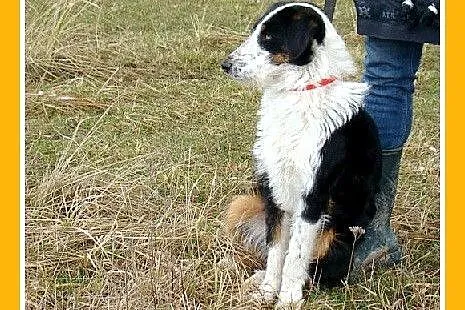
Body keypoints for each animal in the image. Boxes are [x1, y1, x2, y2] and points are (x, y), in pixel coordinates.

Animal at [221, 1, 380, 308]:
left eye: (269, 37)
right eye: (256, 31)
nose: (226, 65)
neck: (300, 91)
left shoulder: (312, 197)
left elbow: (294, 258)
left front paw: (288, 299)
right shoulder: (275, 189)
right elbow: (275, 250)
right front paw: (268, 291)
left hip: (336, 231)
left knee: (319, 269)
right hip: (243, 203)